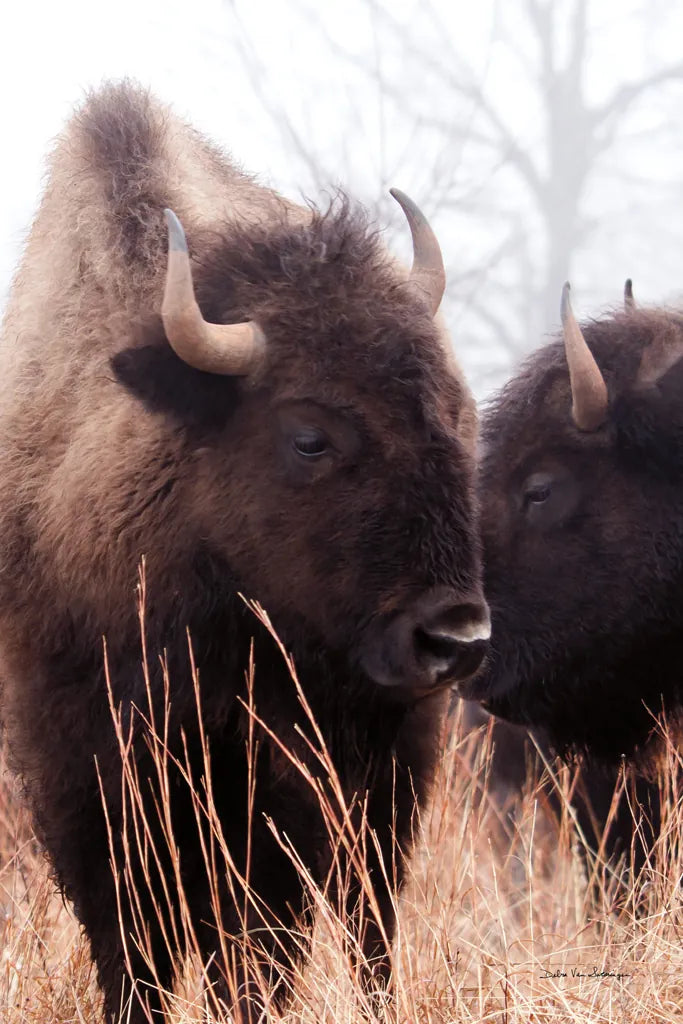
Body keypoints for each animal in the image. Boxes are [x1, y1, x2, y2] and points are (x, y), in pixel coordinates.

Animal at [0, 82, 490, 1022]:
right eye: (309, 436)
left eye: (458, 415)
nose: (453, 637)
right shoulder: (82, 769)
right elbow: (133, 942)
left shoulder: (290, 786)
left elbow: (259, 943)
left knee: (365, 925)